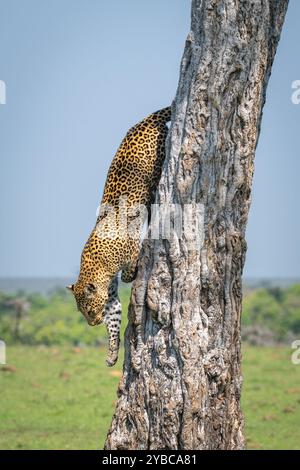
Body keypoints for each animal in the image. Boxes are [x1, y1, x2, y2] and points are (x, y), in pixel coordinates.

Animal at [67, 104, 171, 366]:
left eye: (89, 311)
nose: (92, 323)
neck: (97, 268)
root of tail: (144, 121)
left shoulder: (129, 247)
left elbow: (128, 271)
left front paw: (132, 272)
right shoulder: (110, 294)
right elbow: (113, 318)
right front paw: (112, 352)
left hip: (156, 162)